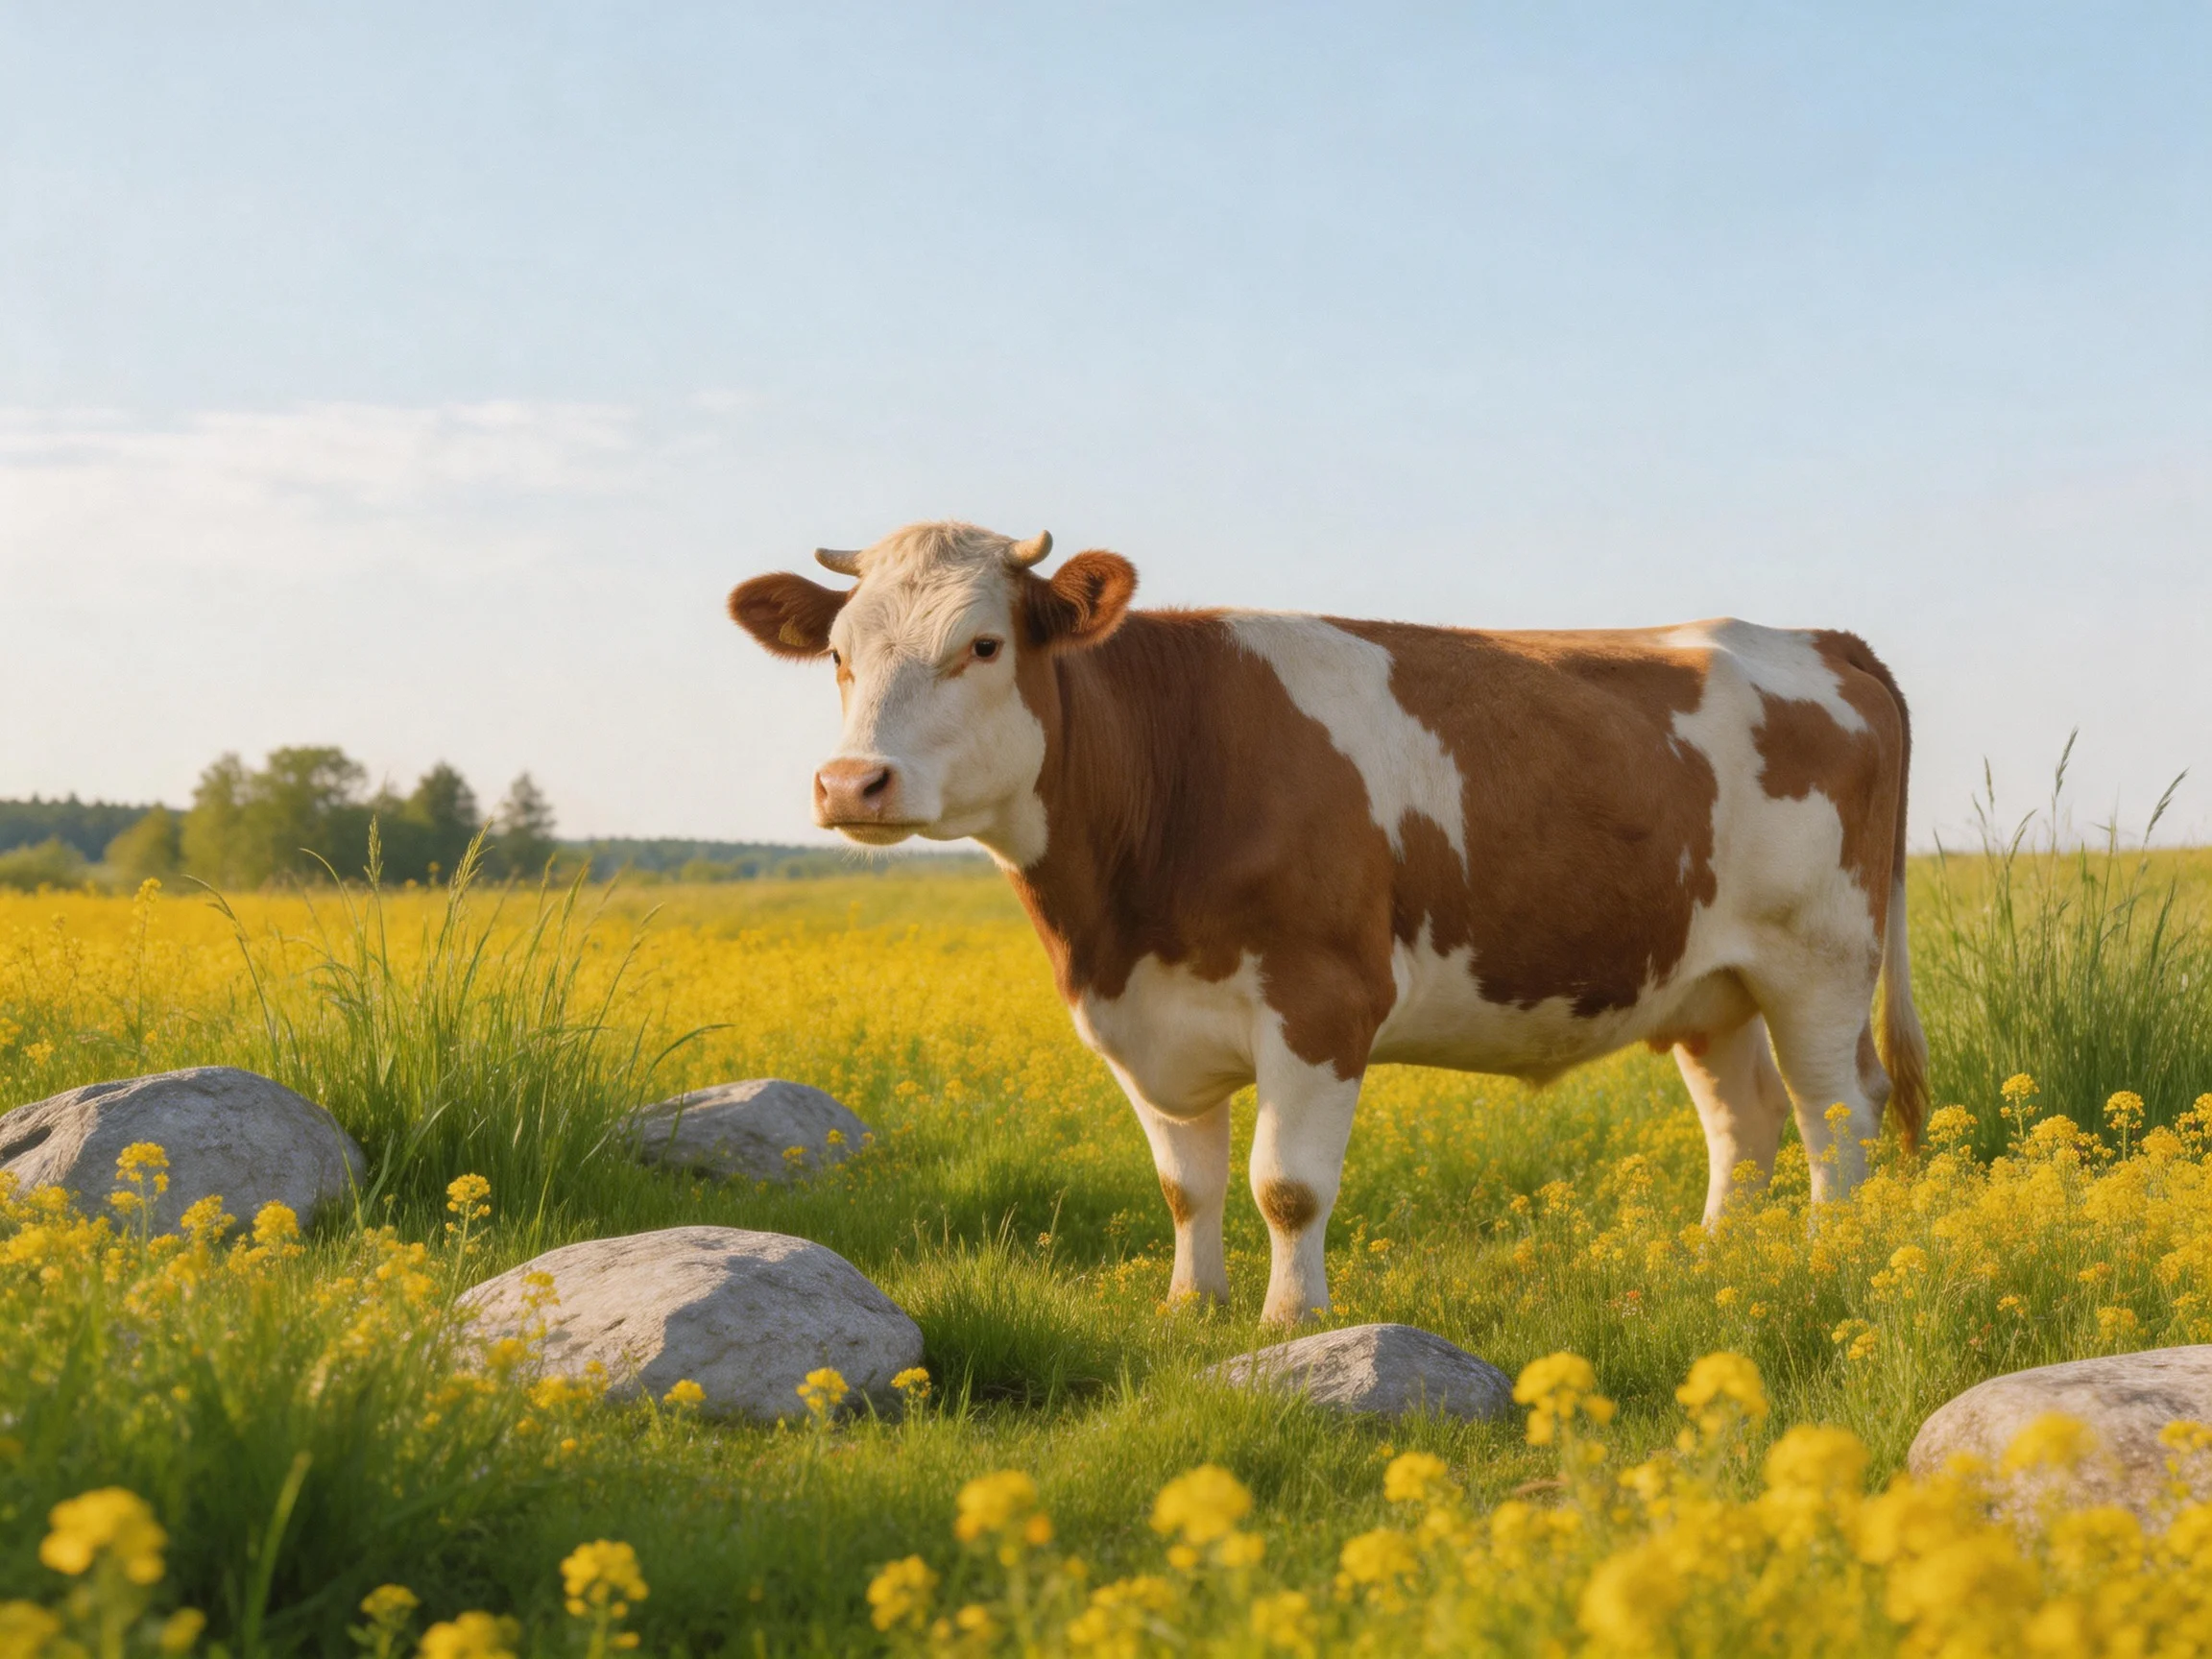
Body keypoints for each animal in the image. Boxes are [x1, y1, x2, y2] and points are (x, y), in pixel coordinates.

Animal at [730, 520, 1927, 1325]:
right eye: (838, 654)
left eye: (982, 646)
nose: (851, 783)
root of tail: (1819, 639)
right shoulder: (1139, 1021)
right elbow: (1186, 1184)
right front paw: (1190, 1309)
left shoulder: (1321, 1002)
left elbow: (1286, 1185)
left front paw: (1289, 1321)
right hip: (1706, 982)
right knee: (1745, 1121)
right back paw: (1719, 1265)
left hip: (1820, 962)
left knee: (1837, 1114)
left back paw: (1826, 1260)